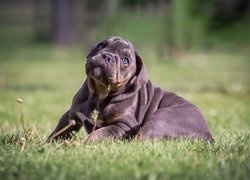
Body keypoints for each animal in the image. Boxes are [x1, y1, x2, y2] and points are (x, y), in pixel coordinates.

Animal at [47, 36, 214, 142]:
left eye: (125, 61)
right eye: (101, 45)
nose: (107, 56)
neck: (100, 93)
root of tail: (207, 133)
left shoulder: (123, 125)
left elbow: (98, 134)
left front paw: (80, 144)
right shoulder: (71, 115)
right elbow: (57, 132)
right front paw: (46, 145)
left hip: (159, 118)